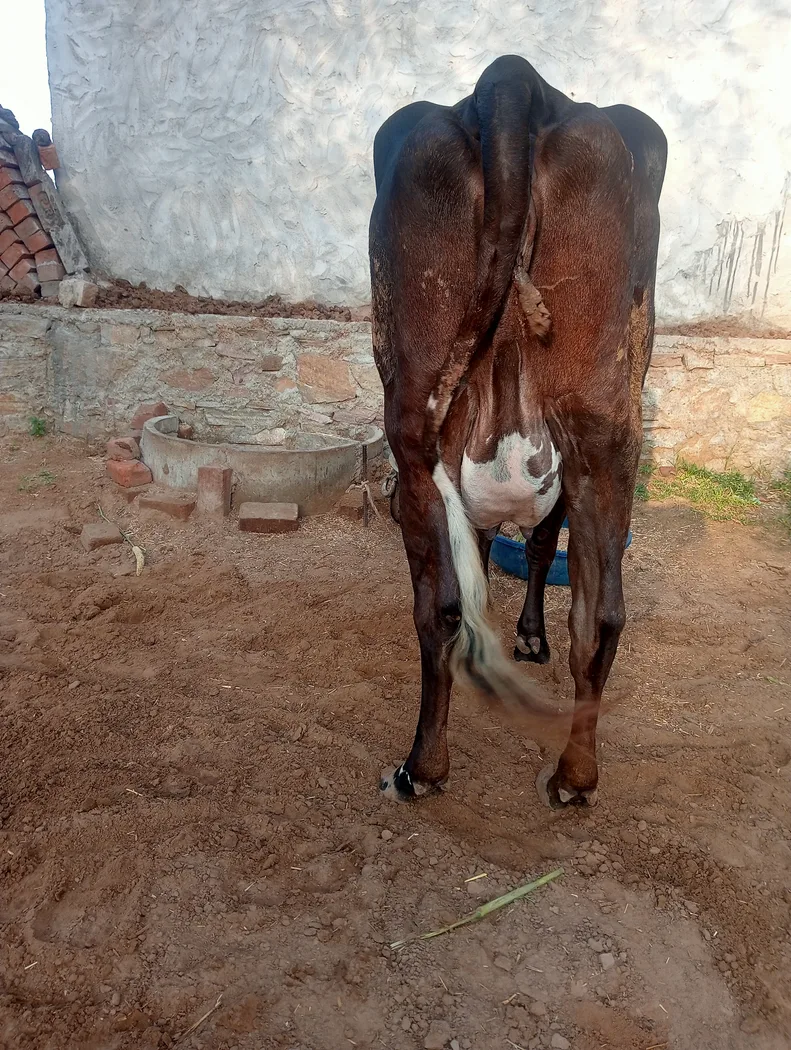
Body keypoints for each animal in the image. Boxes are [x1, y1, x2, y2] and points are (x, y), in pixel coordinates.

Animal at [369, 55, 667, 806]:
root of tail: (512, 78)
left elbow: (514, 550)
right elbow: (533, 548)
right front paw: (530, 634)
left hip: (415, 425)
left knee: (441, 606)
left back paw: (421, 767)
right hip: (604, 431)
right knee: (600, 616)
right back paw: (574, 777)